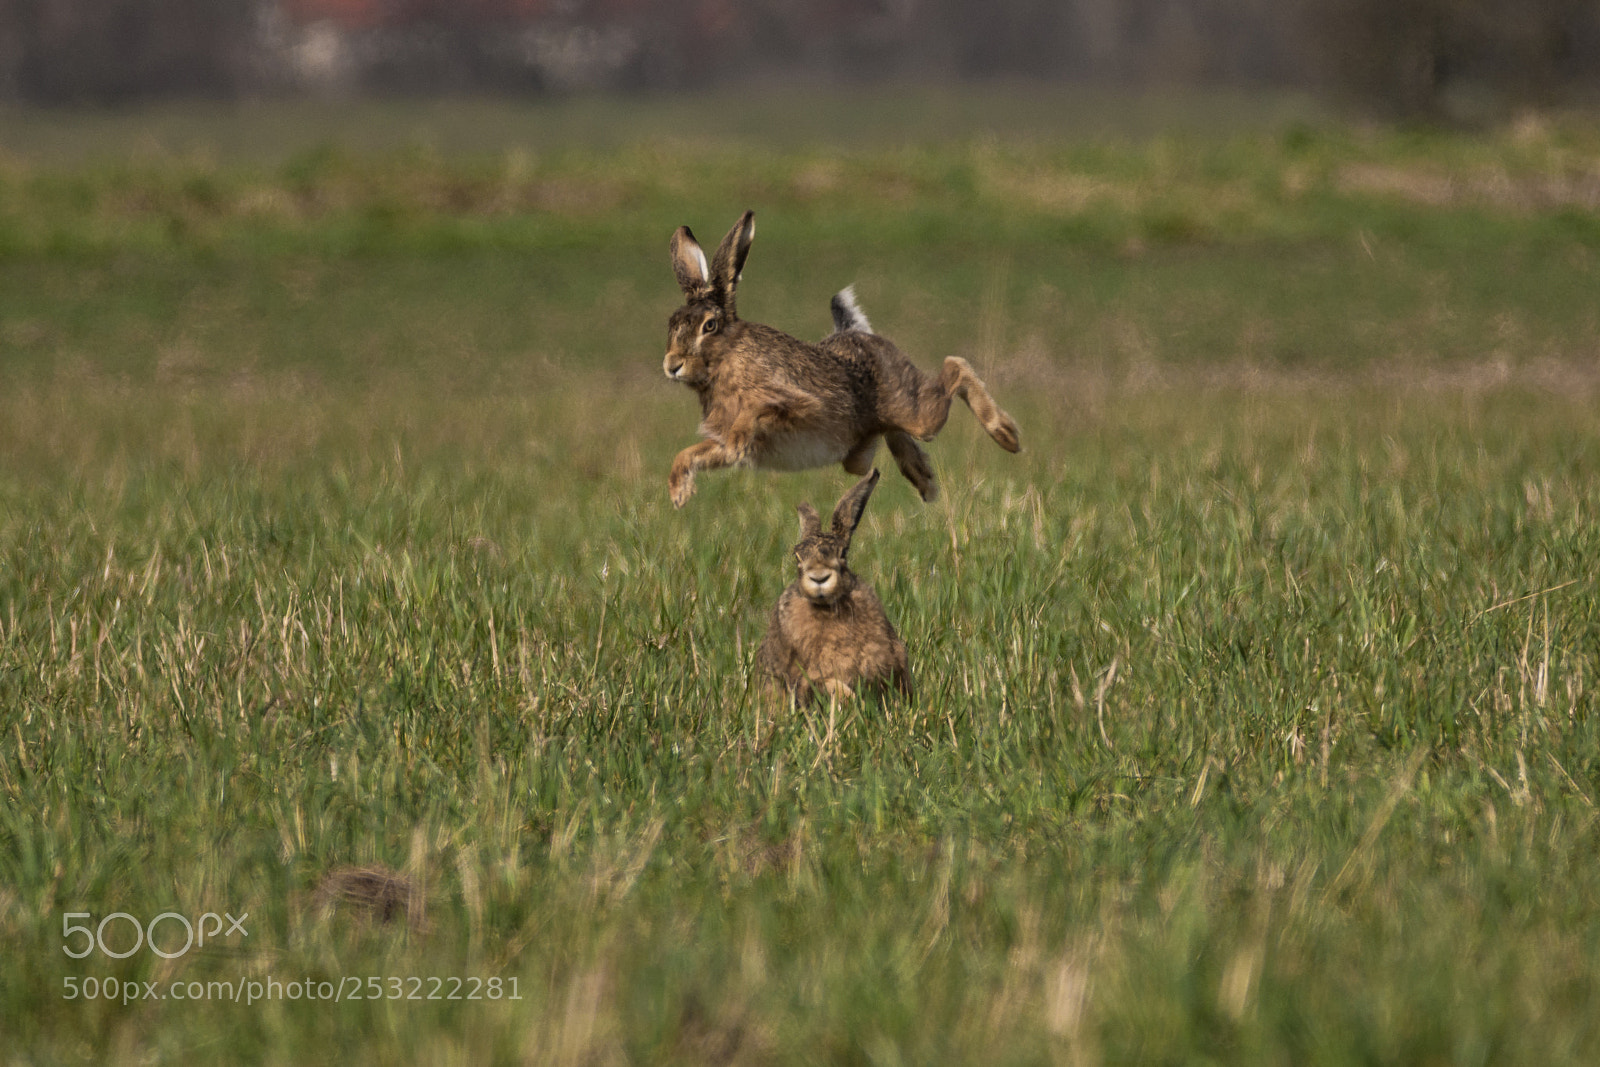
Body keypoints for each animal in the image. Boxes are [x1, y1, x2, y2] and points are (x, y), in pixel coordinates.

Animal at [663, 210, 1020, 507]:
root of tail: (855, 330)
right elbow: (691, 454)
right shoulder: (721, 444)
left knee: (954, 367)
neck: (726, 360)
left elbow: (757, 411)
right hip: (860, 451)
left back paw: (1006, 435)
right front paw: (679, 493)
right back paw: (923, 478)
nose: (672, 365)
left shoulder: (798, 402)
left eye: (709, 326)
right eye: (672, 323)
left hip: (916, 412)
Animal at [757, 470, 913, 707]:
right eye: (797, 557)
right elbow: (830, 685)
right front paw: (851, 701)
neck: (828, 608)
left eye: (843, 553)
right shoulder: (807, 678)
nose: (819, 577)